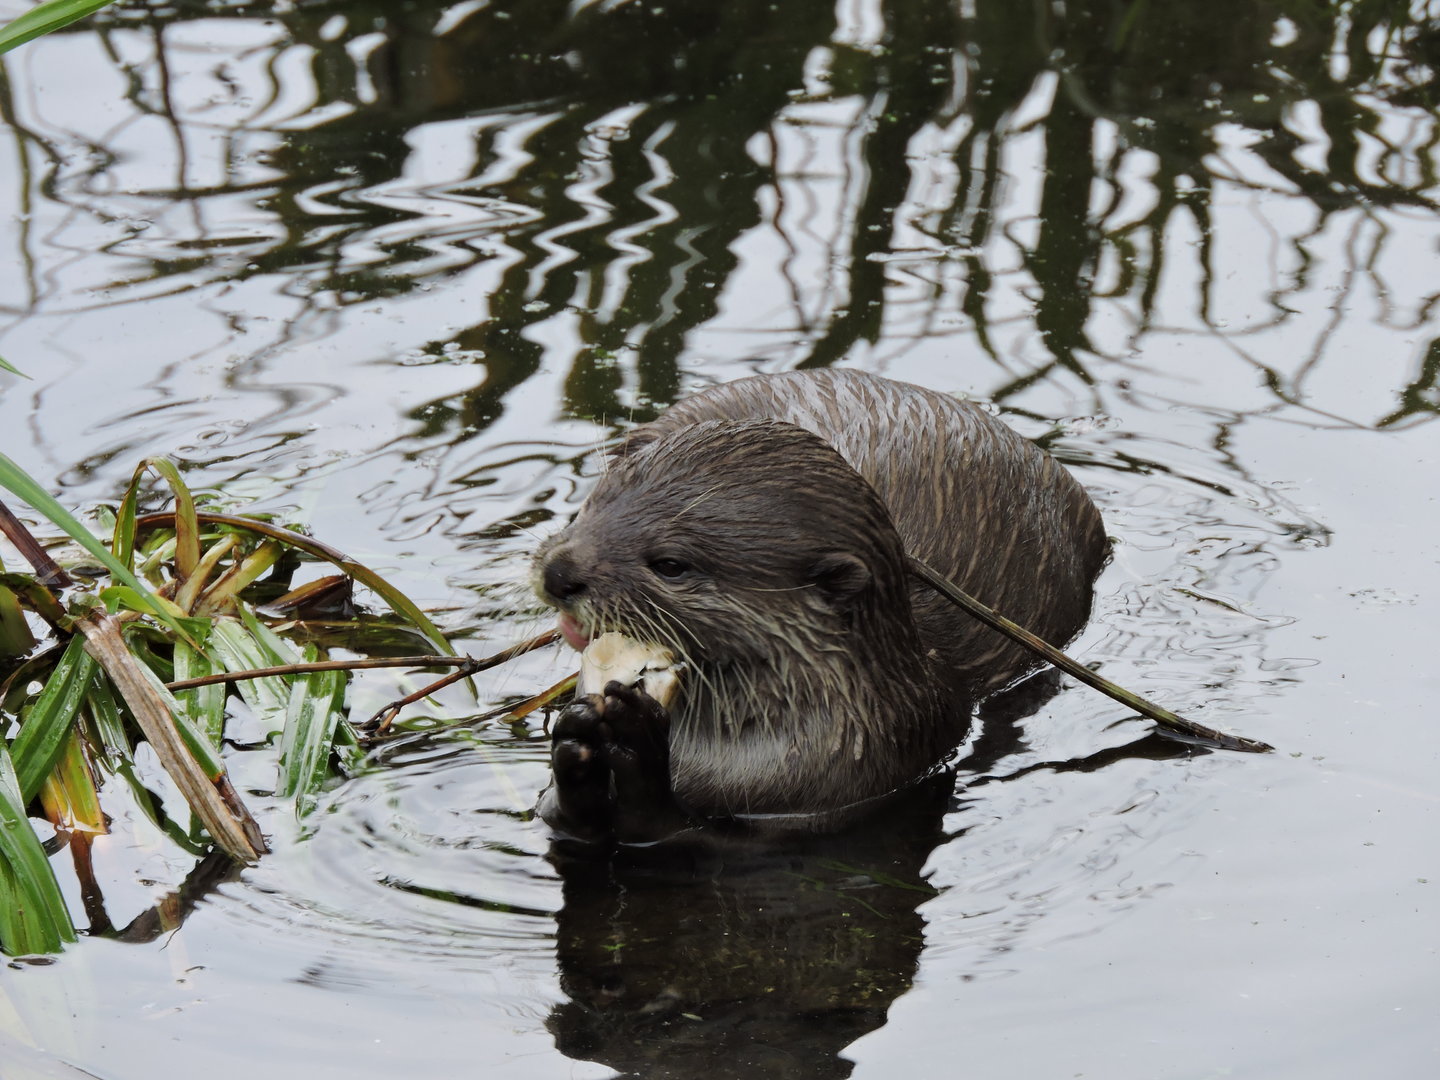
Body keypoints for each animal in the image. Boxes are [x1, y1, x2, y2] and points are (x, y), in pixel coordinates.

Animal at [533, 369, 1107, 840]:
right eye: (593, 505)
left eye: (671, 564)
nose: (558, 573)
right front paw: (577, 744)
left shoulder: (847, 779)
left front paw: (633, 742)